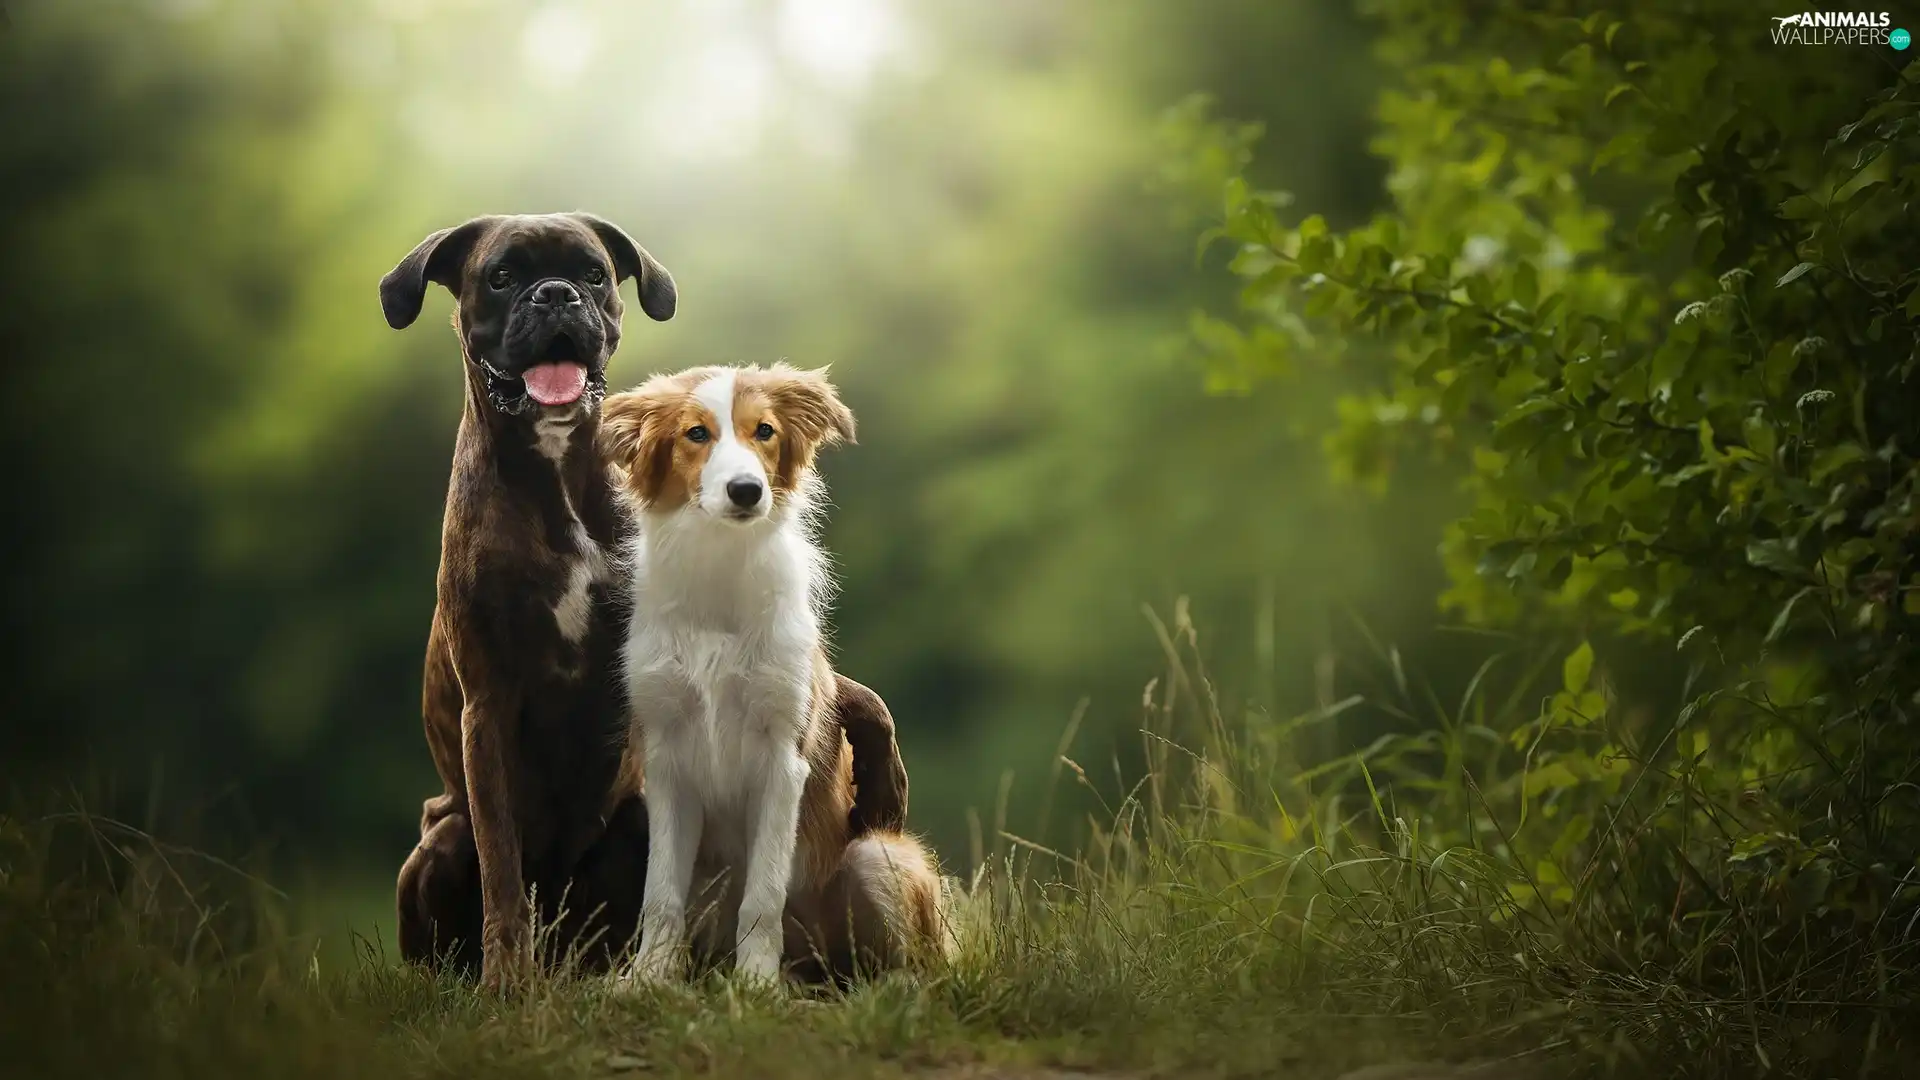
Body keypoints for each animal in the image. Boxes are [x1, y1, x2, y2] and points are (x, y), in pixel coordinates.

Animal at [599, 363, 944, 983]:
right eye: (695, 434)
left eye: (764, 430)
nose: (746, 490)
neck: (721, 569)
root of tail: (818, 966)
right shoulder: (666, 761)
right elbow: (660, 896)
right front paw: (646, 980)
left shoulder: (783, 758)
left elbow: (762, 897)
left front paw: (756, 985)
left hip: (876, 856)